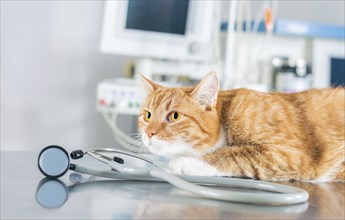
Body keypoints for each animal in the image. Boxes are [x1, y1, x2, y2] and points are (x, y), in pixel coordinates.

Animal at [138, 72, 344, 180]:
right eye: (148, 115)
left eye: (174, 116)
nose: (149, 133)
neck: (227, 116)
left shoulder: (289, 153)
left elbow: (232, 154)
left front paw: (185, 162)